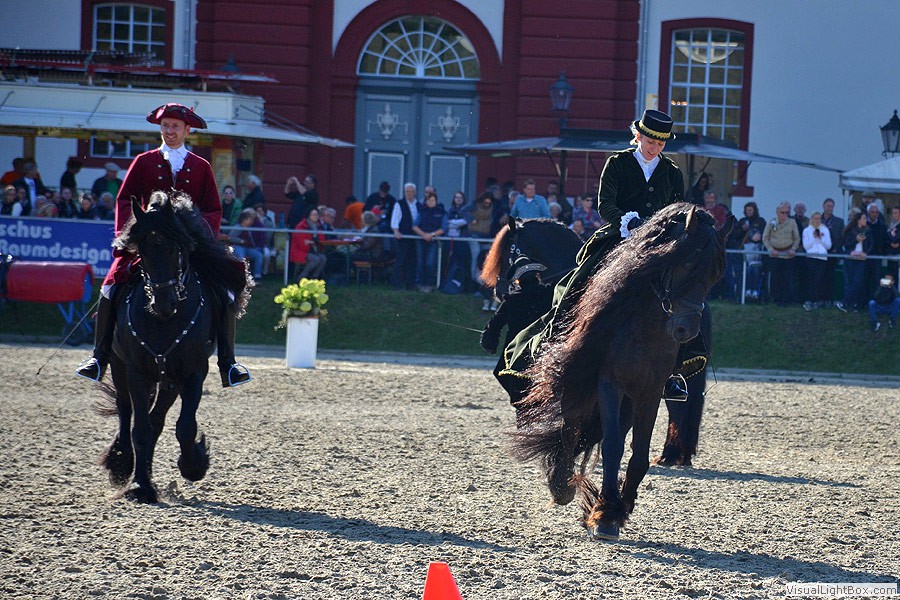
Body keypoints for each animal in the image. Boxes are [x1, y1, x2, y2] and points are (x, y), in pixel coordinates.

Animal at [98, 190, 251, 503]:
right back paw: (122, 462)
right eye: (142, 251)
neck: (164, 321)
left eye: (175, 248)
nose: (163, 303)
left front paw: (194, 465)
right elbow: (139, 428)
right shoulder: (136, 372)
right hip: (121, 367)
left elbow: (184, 427)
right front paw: (140, 485)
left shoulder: (193, 373)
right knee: (126, 410)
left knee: (157, 420)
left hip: (169, 380)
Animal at [513, 203, 728, 540]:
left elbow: (637, 456)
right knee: (573, 426)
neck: (646, 325)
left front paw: (614, 510)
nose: (685, 331)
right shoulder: (609, 384)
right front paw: (603, 514)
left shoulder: (649, 392)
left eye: (713, 276)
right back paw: (561, 483)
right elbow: (612, 445)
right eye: (688, 263)